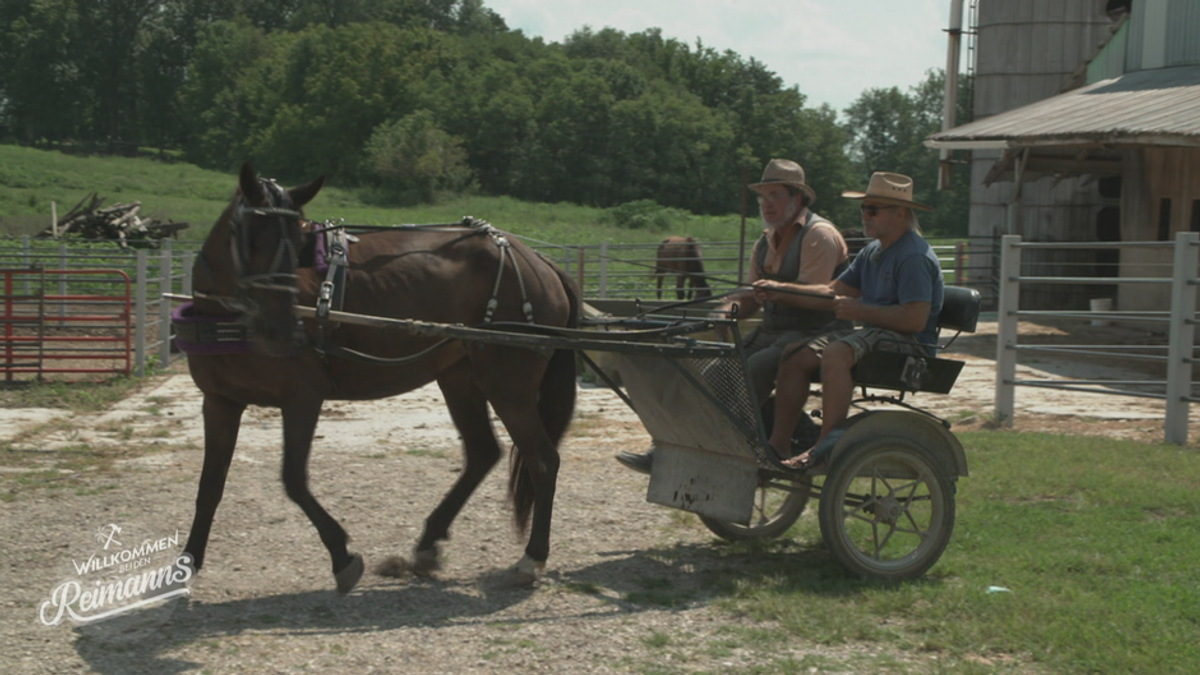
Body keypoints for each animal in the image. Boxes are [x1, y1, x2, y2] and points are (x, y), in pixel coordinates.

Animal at [178, 162, 585, 588]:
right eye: (254, 239)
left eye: (299, 241)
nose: (282, 332)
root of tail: (540, 263)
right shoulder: (219, 402)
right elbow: (210, 485)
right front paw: (187, 564)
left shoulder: (302, 397)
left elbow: (293, 479)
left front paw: (341, 556)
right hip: (459, 377)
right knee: (482, 452)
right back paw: (428, 542)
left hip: (507, 385)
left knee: (543, 460)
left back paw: (532, 557)